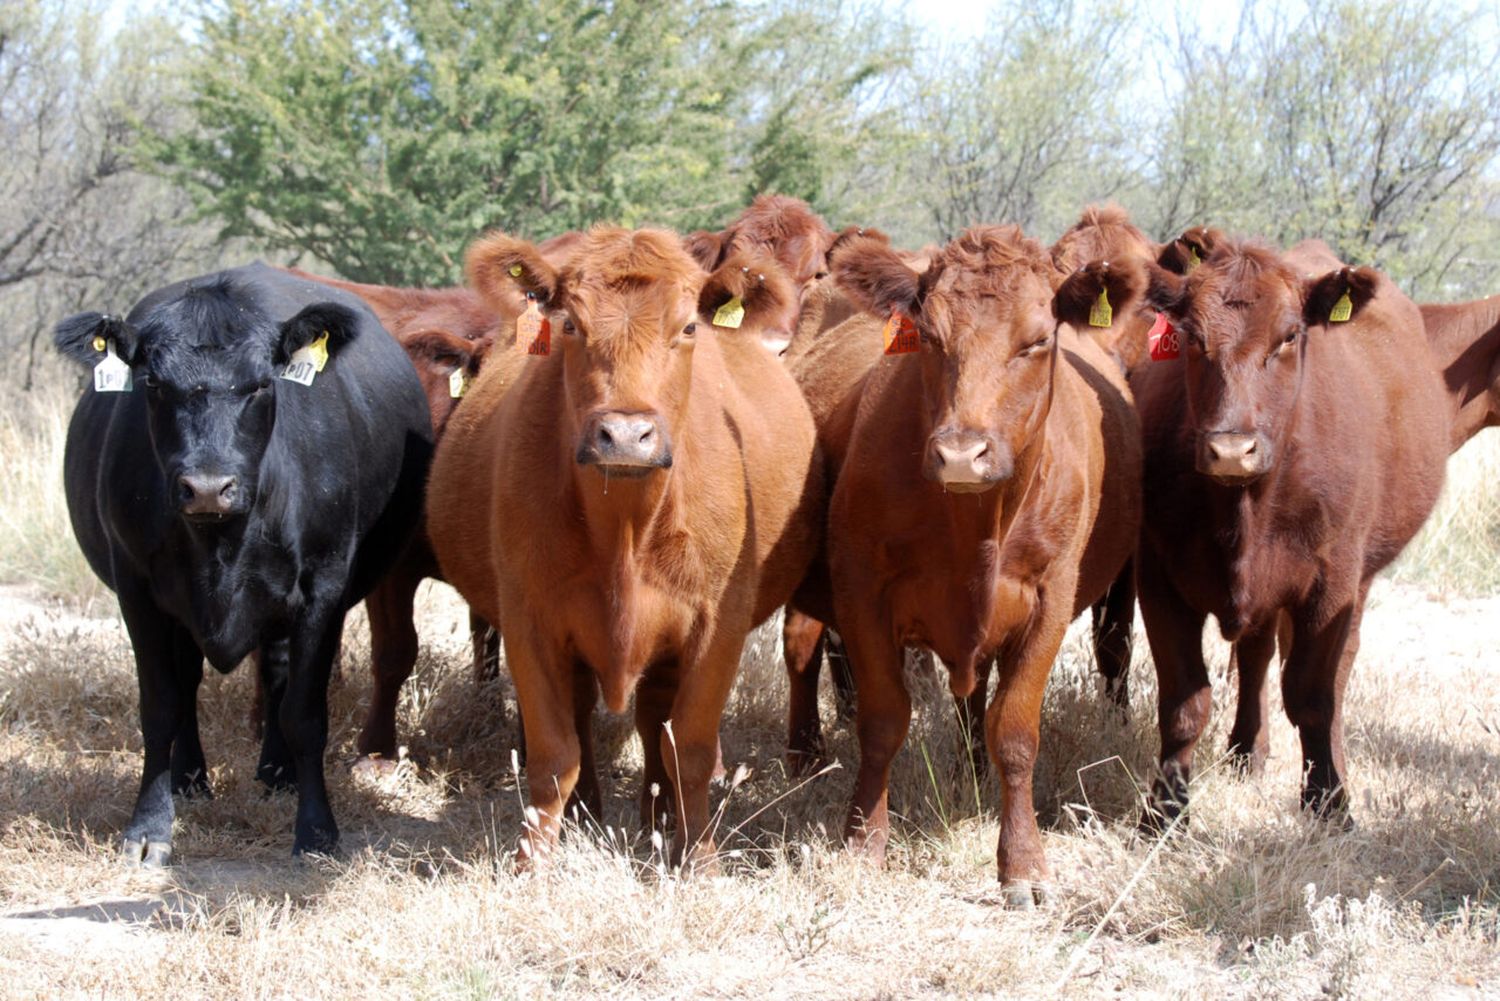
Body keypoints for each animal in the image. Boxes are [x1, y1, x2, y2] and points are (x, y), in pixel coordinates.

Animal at [55, 262, 432, 864]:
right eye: (154, 385)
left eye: (260, 384)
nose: (208, 487)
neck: (222, 542)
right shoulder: (138, 591)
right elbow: (160, 705)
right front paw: (149, 826)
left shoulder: (322, 591)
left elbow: (305, 712)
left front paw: (316, 829)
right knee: (189, 683)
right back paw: (189, 779)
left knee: (276, 675)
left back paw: (278, 773)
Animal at [828, 226, 1140, 900]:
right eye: (929, 336)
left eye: (1038, 340)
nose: (960, 453)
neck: (974, 523)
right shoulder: (860, 591)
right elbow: (883, 719)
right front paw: (863, 842)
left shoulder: (1049, 601)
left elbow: (1016, 732)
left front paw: (1022, 862)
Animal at [1134, 238, 1452, 828]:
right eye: (1192, 337)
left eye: (1288, 336)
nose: (1231, 449)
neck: (1246, 507)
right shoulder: (1159, 576)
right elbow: (1185, 701)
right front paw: (1164, 811)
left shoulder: (1331, 584)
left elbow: (1312, 696)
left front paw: (1328, 801)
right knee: (1255, 658)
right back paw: (1246, 751)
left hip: (1358, 581)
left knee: (1336, 674)